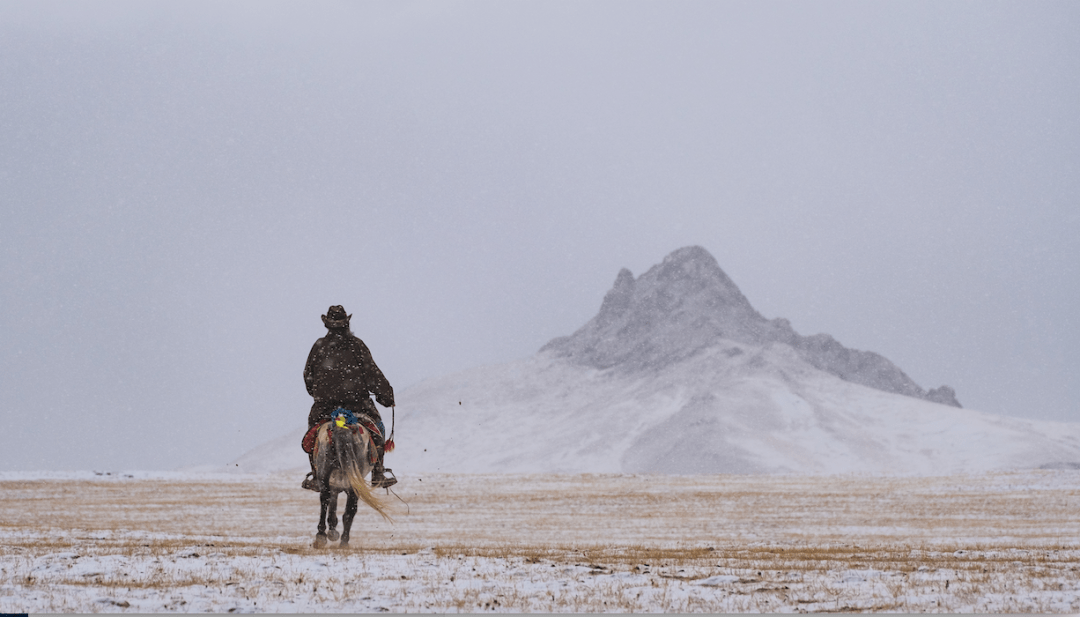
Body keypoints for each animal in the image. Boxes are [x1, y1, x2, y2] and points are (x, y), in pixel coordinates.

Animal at [311, 410, 390, 551]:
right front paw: (333, 532)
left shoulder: (335, 485)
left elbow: (332, 508)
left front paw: (332, 532)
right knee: (348, 509)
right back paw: (340, 540)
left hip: (327, 473)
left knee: (327, 500)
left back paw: (323, 537)